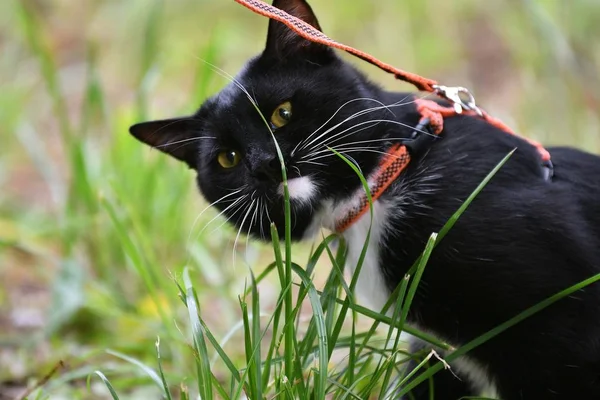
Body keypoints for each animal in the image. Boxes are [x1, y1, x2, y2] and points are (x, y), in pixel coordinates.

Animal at [129, 1, 600, 398]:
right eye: (228, 159)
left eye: (282, 112)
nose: (265, 163)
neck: (382, 186)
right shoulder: (438, 353)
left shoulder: (561, 332)